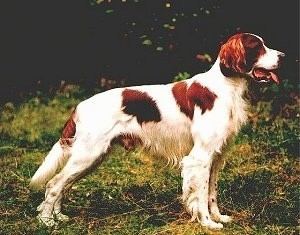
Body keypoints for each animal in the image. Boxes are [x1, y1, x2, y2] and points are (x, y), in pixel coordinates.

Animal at [29, 32, 284, 229]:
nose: (284, 56)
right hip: (87, 155)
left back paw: (59, 216)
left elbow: (211, 193)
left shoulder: (216, 157)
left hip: (91, 158)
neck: (225, 86)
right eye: (257, 46)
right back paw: (47, 221)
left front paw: (219, 217)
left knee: (63, 185)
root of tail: (79, 107)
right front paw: (208, 223)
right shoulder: (199, 157)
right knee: (54, 184)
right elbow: (200, 195)